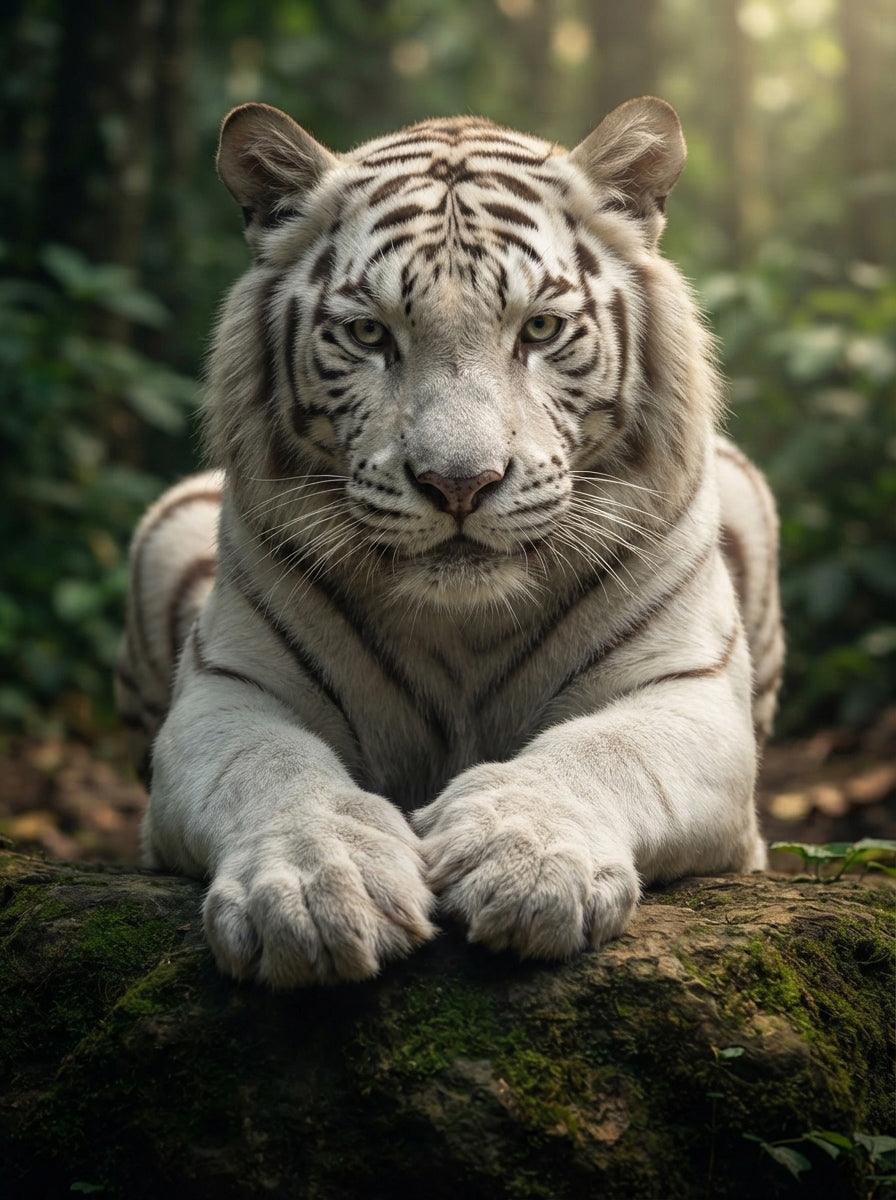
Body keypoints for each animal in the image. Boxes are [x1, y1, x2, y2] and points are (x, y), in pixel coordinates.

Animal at [116, 96, 784, 988]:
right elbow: (267, 767)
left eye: (541, 328)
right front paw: (313, 890)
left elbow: (605, 750)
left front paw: (526, 859)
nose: (460, 482)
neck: (462, 626)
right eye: (369, 335)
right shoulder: (227, 691)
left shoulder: (689, 689)